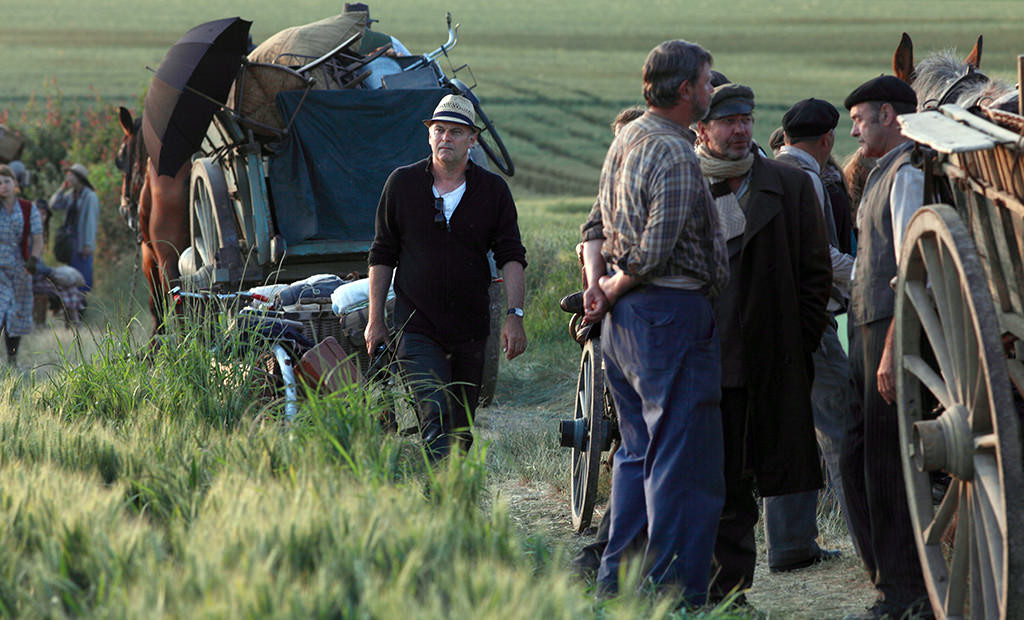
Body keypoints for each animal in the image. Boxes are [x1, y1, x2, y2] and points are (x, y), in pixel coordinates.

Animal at [116, 108, 190, 336]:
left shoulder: (149, 258)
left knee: (180, 303)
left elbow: (156, 306)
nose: (124, 207)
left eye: (121, 157)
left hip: (169, 258)